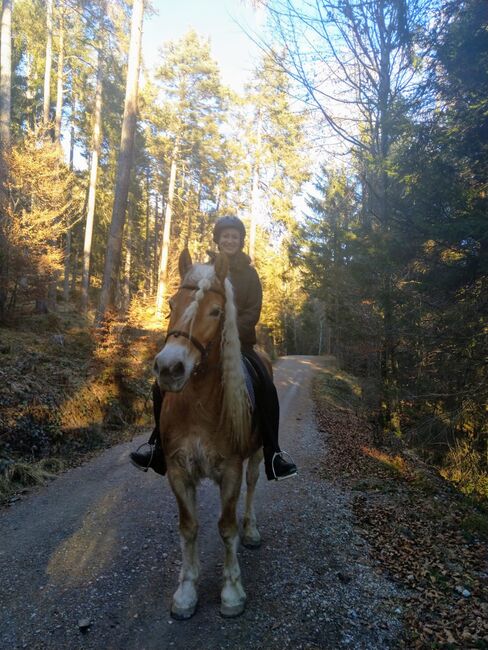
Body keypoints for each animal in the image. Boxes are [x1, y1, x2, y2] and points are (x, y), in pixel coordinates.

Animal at [153, 247, 266, 616]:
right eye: (171, 303)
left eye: (216, 311)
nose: (169, 368)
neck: (198, 407)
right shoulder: (177, 470)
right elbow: (189, 527)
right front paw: (186, 591)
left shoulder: (230, 469)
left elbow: (226, 528)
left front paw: (231, 591)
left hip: (258, 454)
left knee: (252, 485)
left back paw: (252, 530)